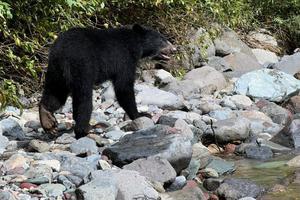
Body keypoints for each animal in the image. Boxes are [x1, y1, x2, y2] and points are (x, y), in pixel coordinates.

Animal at [39, 23, 176, 139]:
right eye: (162, 39)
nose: (174, 49)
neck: (134, 45)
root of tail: (62, 52)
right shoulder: (124, 59)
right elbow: (123, 87)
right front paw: (140, 115)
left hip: (55, 72)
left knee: (55, 93)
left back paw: (47, 118)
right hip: (82, 67)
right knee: (84, 98)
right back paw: (85, 129)